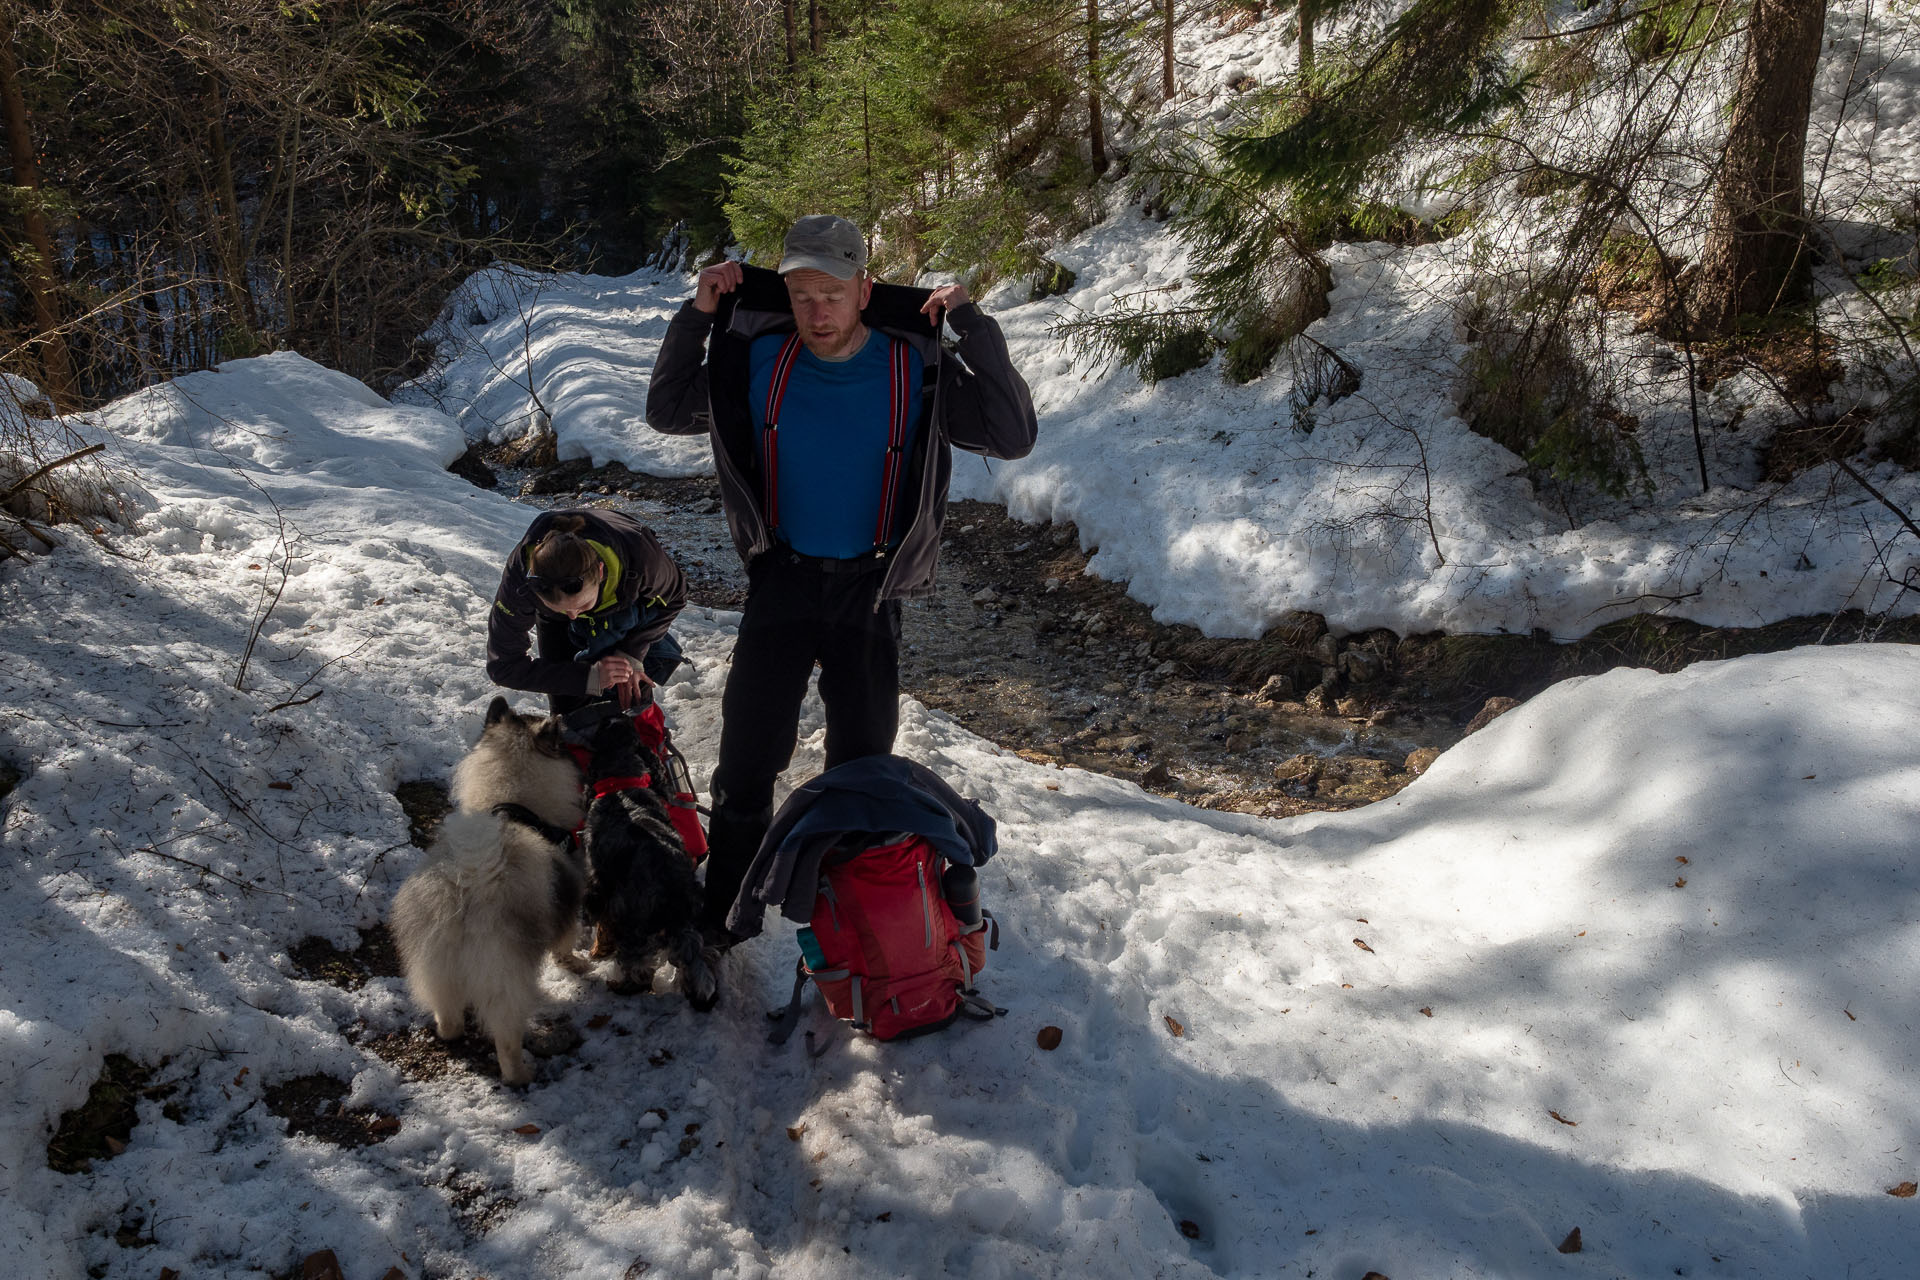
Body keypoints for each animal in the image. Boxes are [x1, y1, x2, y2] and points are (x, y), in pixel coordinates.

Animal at [576, 710, 721, 1013]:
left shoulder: (599, 882)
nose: (615, 712)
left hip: (634, 927)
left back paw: (621, 986)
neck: (622, 786)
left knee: (639, 967)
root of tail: (676, 894)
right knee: (701, 954)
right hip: (695, 920)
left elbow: (598, 917)